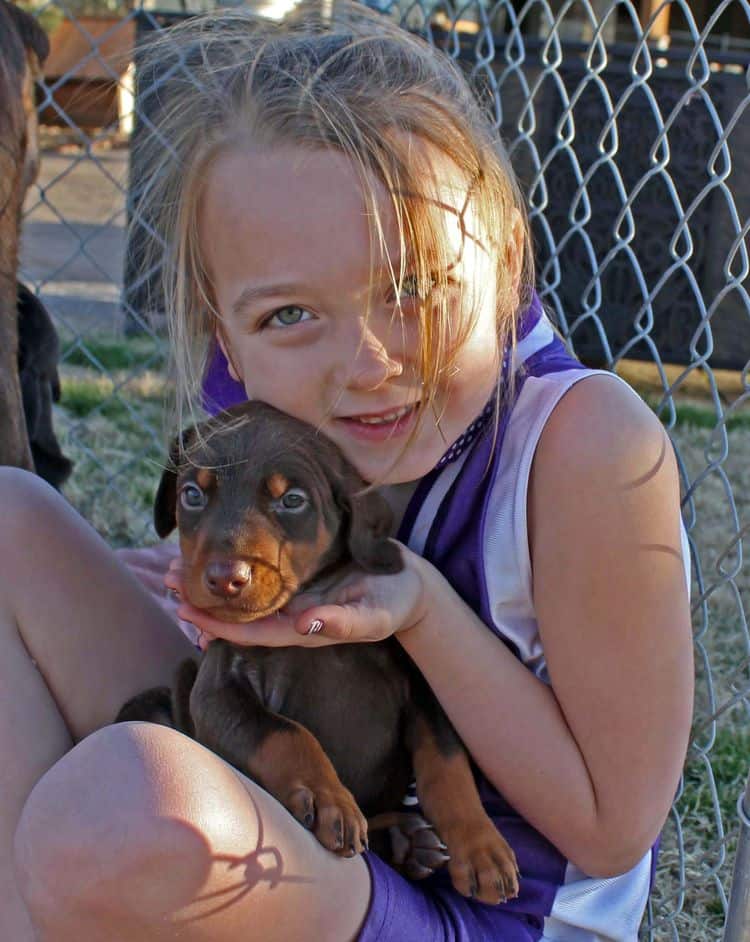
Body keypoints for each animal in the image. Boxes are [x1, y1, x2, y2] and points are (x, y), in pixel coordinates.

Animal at [120, 400, 520, 908]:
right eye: (192, 494)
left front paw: (481, 845)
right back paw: (402, 841)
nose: (226, 578)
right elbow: (286, 731)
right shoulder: (216, 691)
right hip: (160, 698)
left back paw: (408, 842)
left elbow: (447, 765)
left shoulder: (421, 683)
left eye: (292, 501)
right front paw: (328, 796)